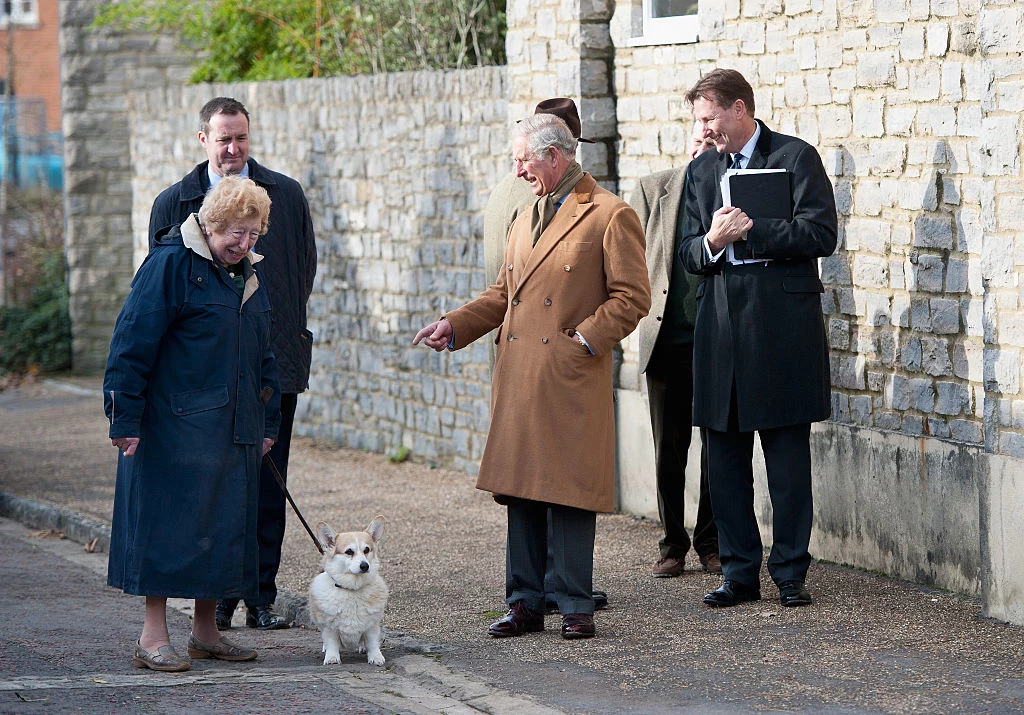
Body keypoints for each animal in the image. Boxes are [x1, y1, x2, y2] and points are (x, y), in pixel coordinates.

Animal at [307, 514, 387, 663]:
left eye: (366, 550)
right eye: (349, 552)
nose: (365, 566)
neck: (352, 589)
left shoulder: (371, 625)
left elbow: (372, 642)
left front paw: (376, 657)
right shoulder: (330, 627)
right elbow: (332, 642)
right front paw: (332, 658)